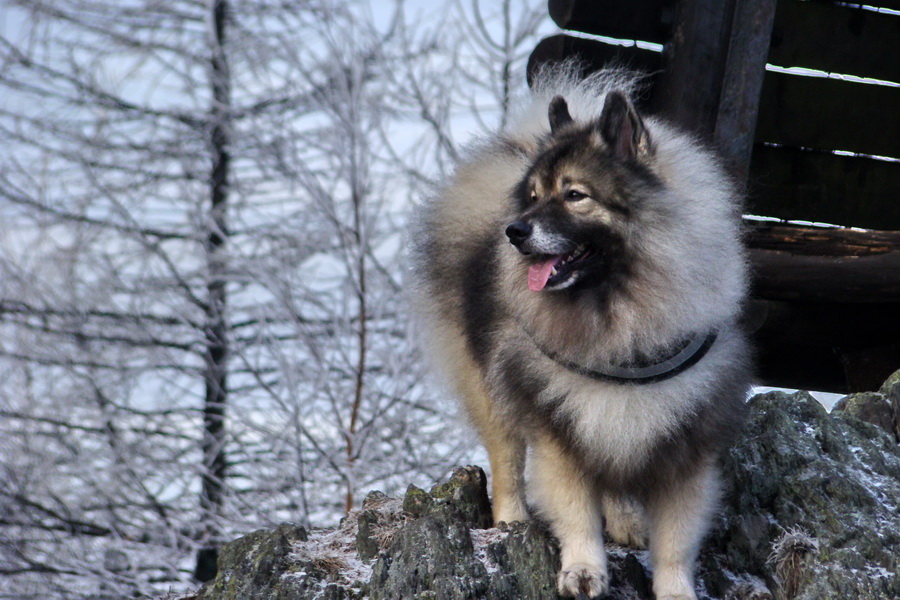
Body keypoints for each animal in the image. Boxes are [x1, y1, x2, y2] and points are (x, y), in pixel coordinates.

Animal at [412, 67, 748, 600]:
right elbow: (575, 512)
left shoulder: (682, 445)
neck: (620, 318)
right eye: (533, 197)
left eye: (575, 195)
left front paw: (675, 588)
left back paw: (625, 521)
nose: (515, 231)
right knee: (506, 460)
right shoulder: (559, 428)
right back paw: (511, 520)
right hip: (491, 386)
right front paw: (583, 569)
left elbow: (676, 540)